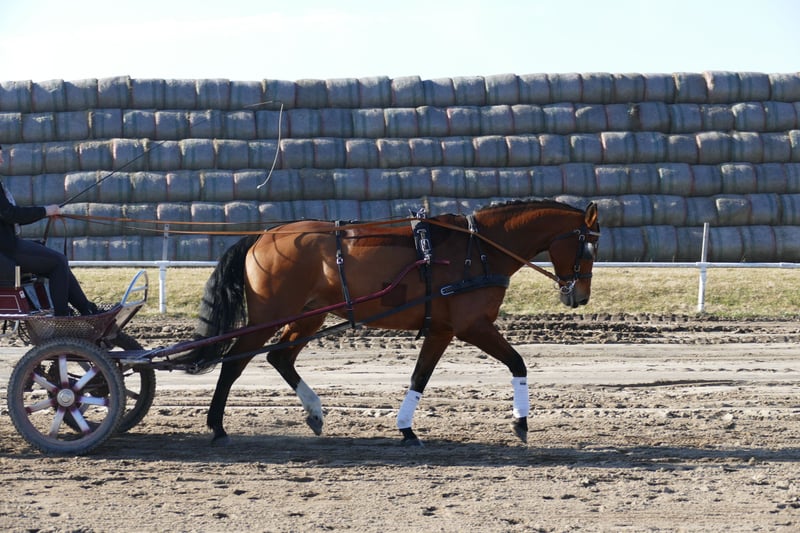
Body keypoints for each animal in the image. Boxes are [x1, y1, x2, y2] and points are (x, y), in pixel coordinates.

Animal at [179, 199, 600, 446]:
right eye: (589, 247)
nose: (578, 296)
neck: (478, 249)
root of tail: (264, 236)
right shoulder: (472, 326)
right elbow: (518, 363)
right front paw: (520, 422)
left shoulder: (442, 330)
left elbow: (419, 378)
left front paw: (406, 427)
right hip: (270, 316)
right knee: (234, 364)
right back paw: (216, 425)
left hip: (310, 315)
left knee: (279, 358)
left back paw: (314, 412)